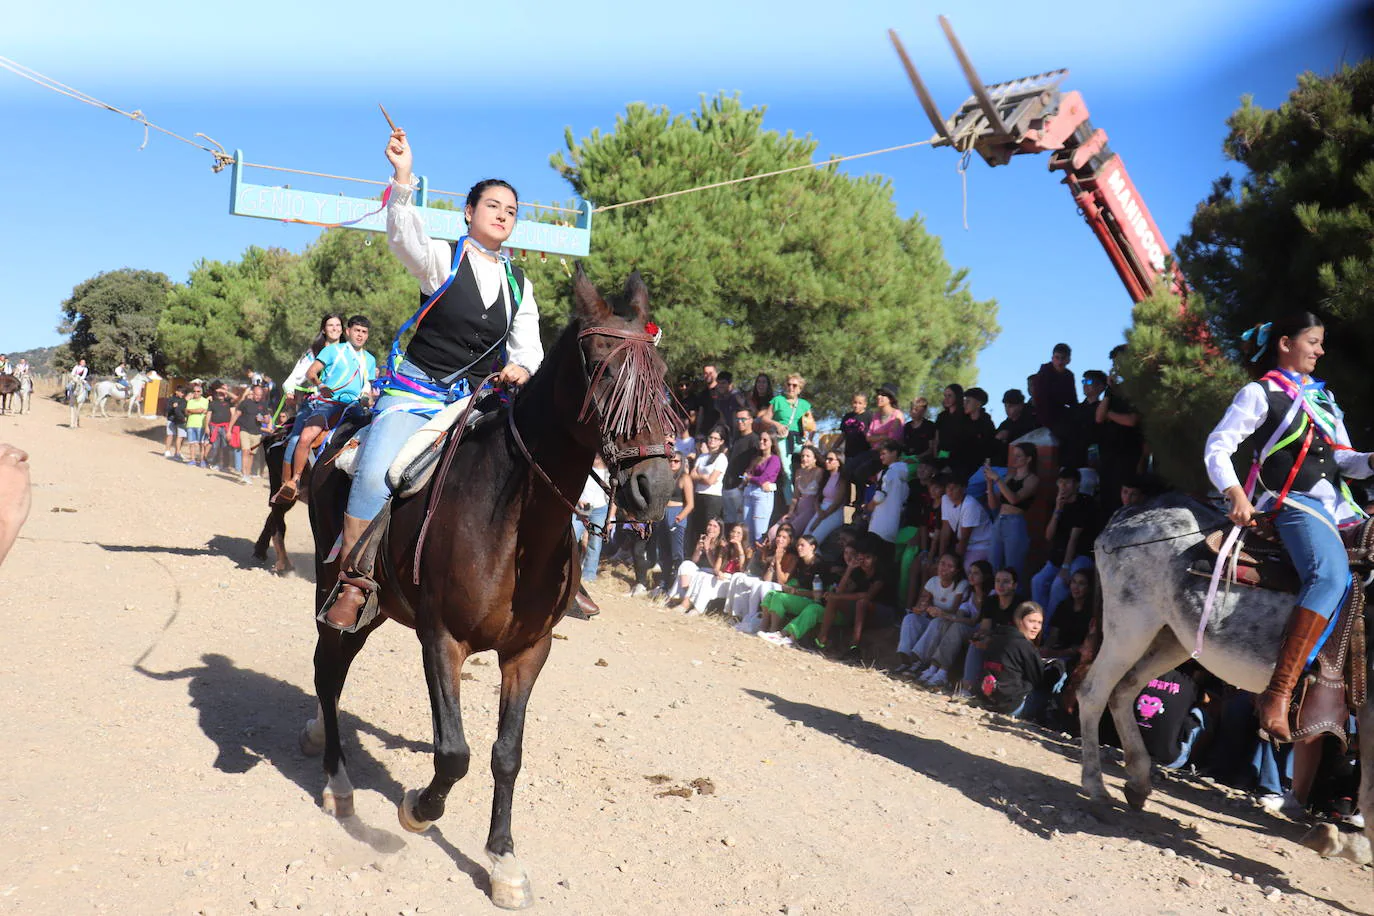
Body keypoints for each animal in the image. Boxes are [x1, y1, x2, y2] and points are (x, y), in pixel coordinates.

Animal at [306, 266, 681, 911]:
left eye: (660, 378)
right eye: (601, 371)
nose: (651, 488)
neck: (510, 522)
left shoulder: (528, 651)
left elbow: (507, 754)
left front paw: (502, 859)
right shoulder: (441, 639)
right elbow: (453, 753)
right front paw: (417, 809)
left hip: (378, 611)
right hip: (337, 590)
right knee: (329, 674)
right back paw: (339, 782)